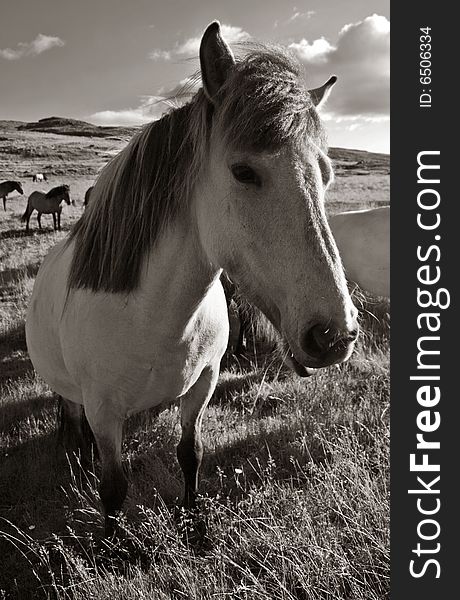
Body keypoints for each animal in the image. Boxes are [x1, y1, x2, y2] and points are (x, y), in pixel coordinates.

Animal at [25, 24, 360, 540]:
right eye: (243, 171)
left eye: (326, 175)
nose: (334, 335)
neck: (153, 317)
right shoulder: (104, 409)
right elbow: (113, 488)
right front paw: (114, 547)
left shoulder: (203, 384)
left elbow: (190, 454)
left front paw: (191, 522)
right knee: (74, 420)